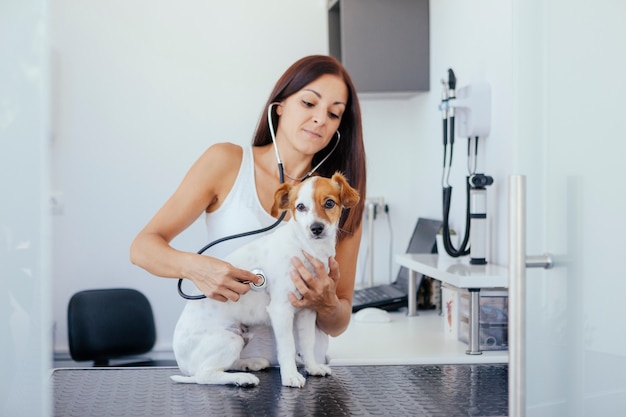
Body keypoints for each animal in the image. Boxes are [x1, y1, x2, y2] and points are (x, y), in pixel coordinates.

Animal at [171, 171, 358, 386]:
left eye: (329, 203)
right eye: (300, 207)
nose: (316, 228)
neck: (307, 248)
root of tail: (182, 363)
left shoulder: (308, 310)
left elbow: (307, 344)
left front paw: (312, 367)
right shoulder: (281, 310)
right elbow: (288, 347)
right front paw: (291, 376)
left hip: (240, 337)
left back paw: (249, 364)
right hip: (229, 340)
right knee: (205, 375)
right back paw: (242, 378)